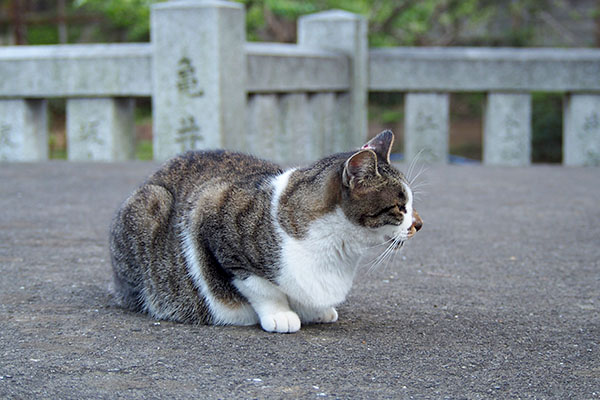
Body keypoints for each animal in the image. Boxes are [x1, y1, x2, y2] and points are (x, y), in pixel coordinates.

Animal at [110, 130, 424, 332]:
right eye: (400, 207)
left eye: (411, 203)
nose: (419, 224)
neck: (338, 248)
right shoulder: (213, 217)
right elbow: (261, 287)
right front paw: (281, 314)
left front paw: (316, 310)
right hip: (152, 204)